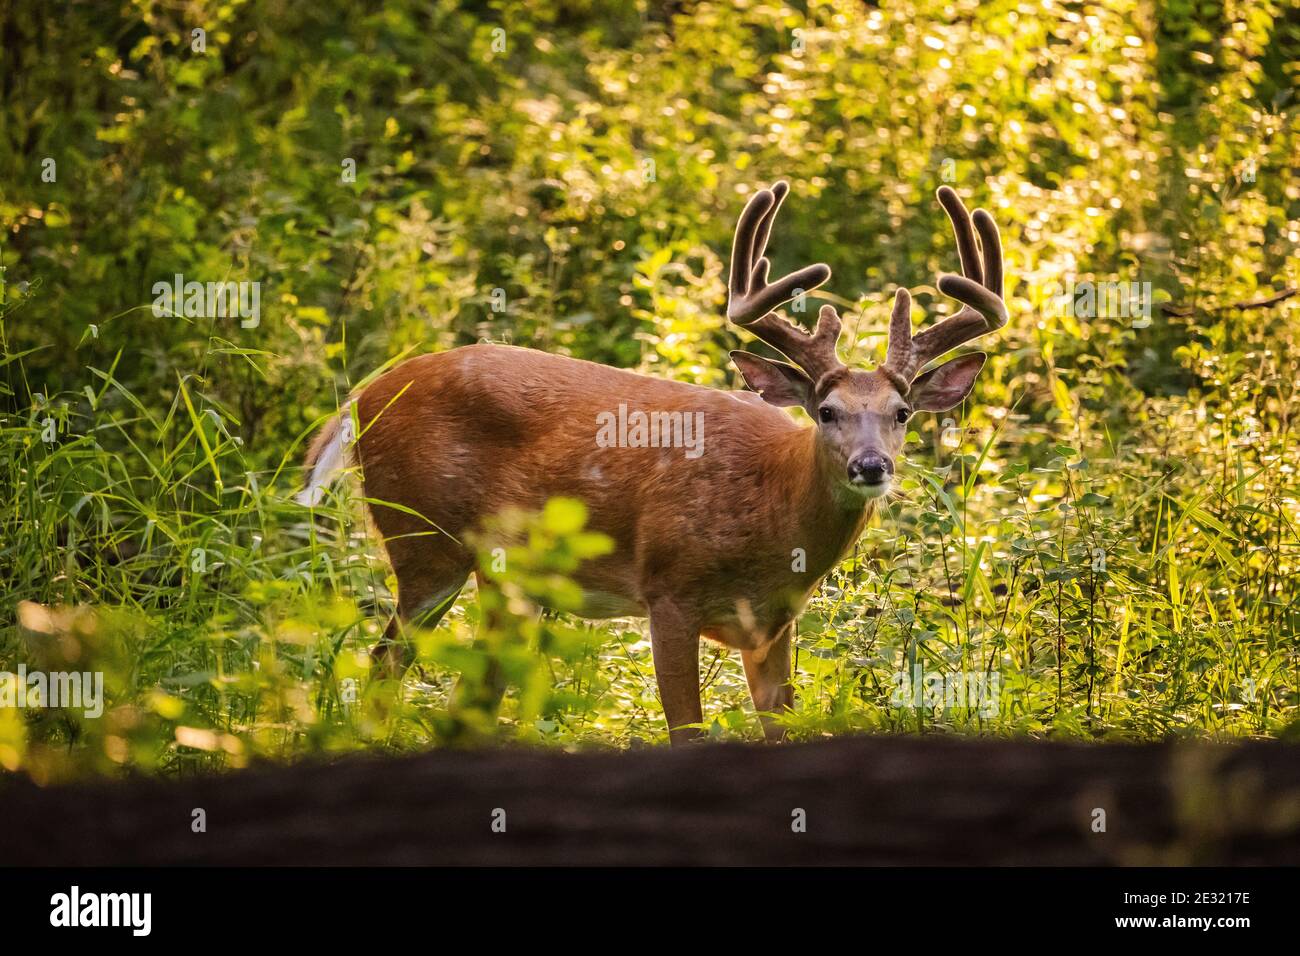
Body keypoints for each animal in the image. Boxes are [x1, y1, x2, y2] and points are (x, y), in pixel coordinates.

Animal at [297, 181, 1008, 745]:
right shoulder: (669, 590)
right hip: (426, 540)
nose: (871, 466)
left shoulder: (775, 625)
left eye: (902, 412)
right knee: (383, 669)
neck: (769, 511)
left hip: (505, 576)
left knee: (464, 700)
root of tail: (361, 398)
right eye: (826, 411)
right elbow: (686, 733)